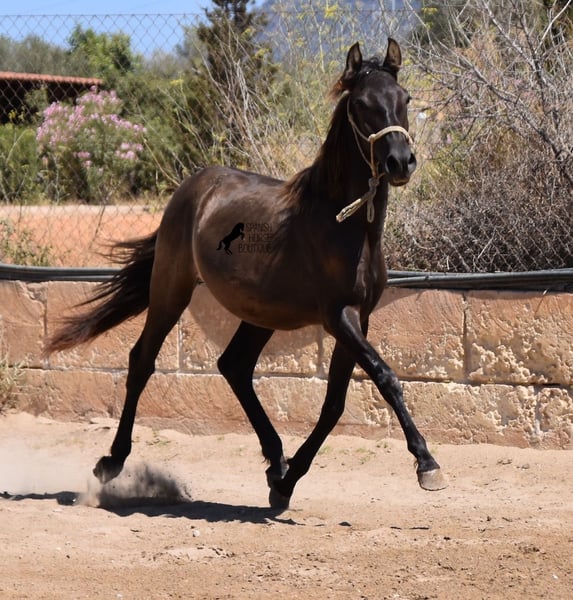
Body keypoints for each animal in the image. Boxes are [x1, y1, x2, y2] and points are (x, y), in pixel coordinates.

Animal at [46, 39, 447, 509]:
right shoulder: (338, 317)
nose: (400, 161)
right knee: (143, 360)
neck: (342, 224)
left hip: (260, 312)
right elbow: (385, 377)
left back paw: (276, 463)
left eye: (405, 99)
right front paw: (427, 465)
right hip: (171, 289)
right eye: (362, 104)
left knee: (234, 366)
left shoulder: (358, 318)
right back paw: (111, 462)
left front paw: (286, 484)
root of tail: (194, 185)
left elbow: (334, 404)